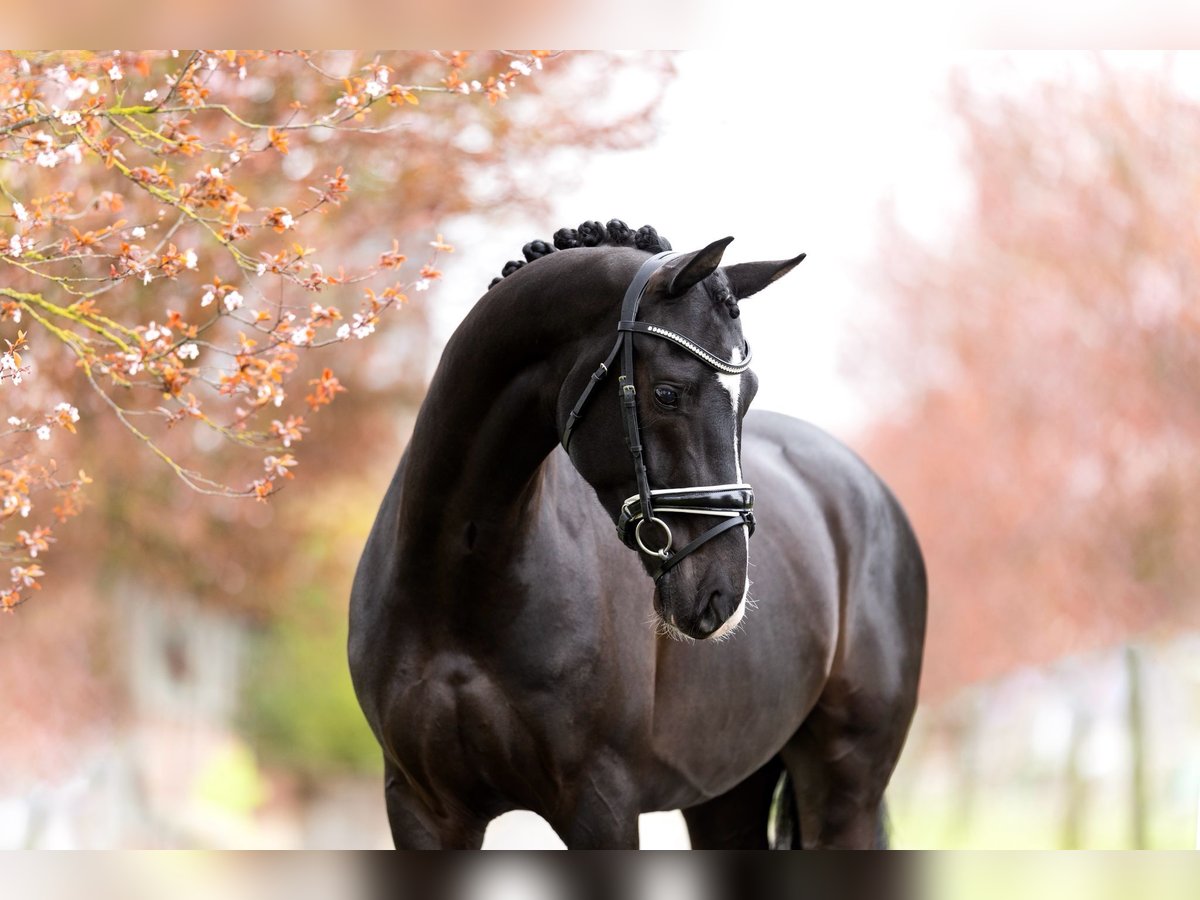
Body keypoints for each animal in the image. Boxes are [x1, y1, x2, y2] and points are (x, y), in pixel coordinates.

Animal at [348, 220, 926, 849]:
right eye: (668, 393)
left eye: (746, 396)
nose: (722, 592)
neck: (459, 585)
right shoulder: (423, 810)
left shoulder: (601, 804)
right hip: (727, 793)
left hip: (847, 789)